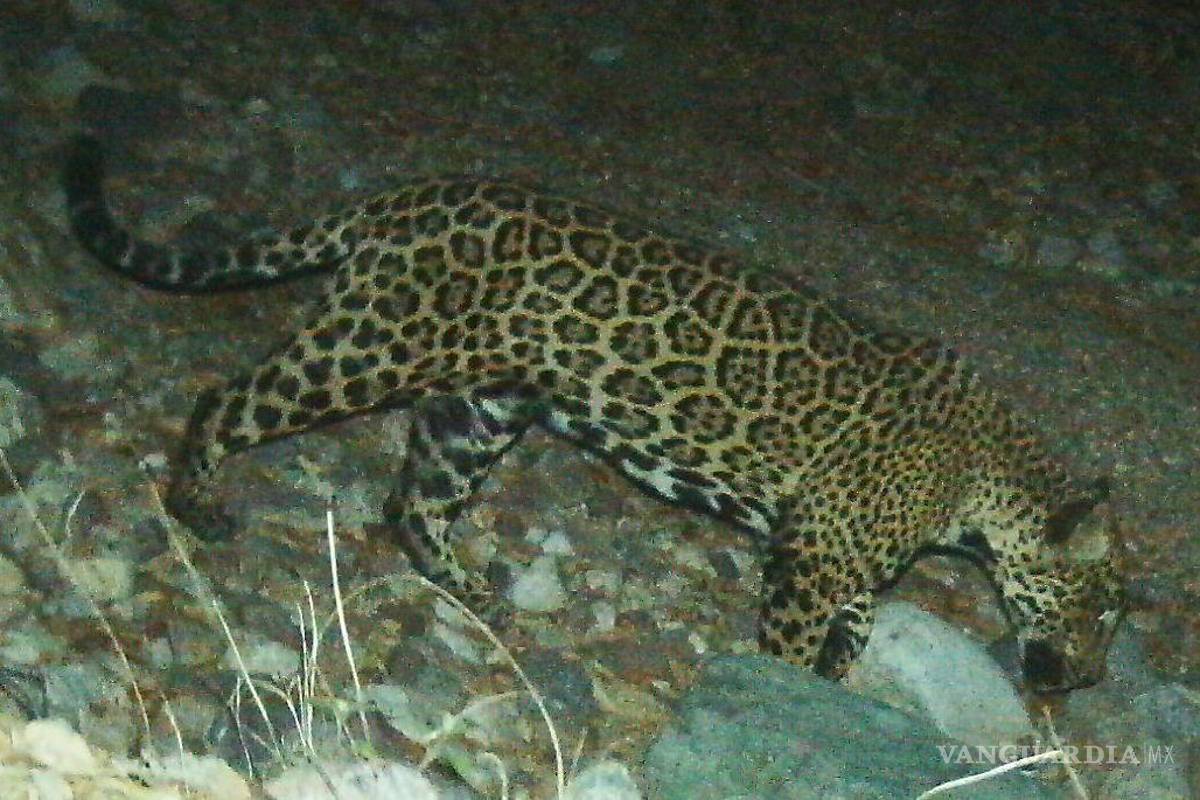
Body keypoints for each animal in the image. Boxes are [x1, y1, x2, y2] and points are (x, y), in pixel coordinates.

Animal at [62, 134, 1125, 692]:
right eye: (1101, 609)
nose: (1085, 681)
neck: (982, 485)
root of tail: (408, 197)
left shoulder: (837, 551)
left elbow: (859, 623)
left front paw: (831, 681)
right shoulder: (816, 552)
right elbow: (798, 636)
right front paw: (786, 689)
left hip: (484, 408)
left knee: (412, 502)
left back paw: (475, 592)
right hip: (372, 348)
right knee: (232, 398)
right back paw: (197, 502)